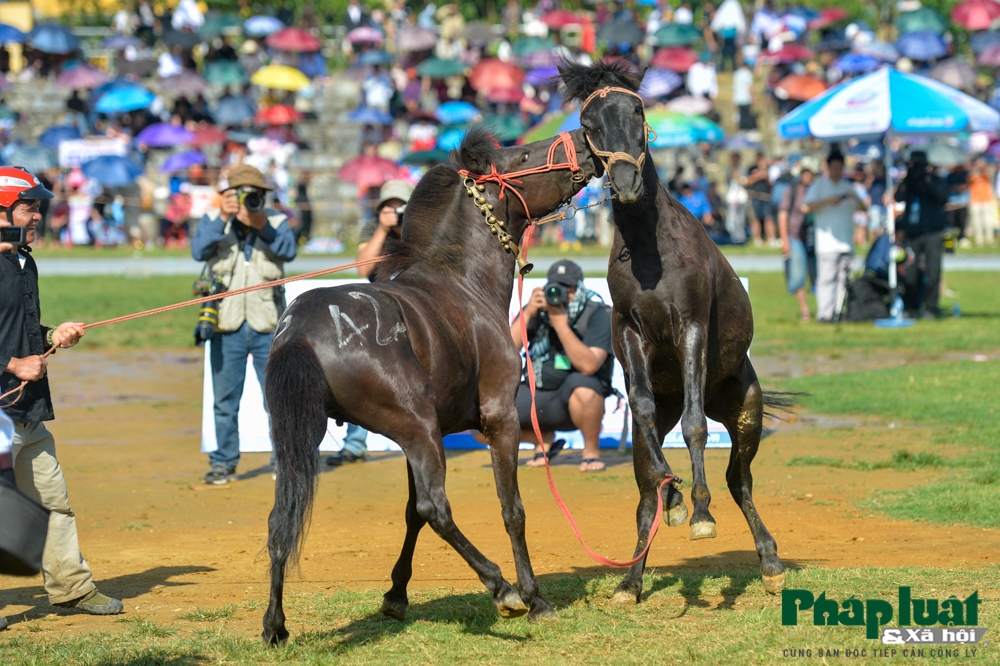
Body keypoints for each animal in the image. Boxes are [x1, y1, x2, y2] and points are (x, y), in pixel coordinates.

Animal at [262, 127, 596, 640]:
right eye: (523, 155)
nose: (581, 136)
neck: (463, 282)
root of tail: (300, 327)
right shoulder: (499, 418)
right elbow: (511, 510)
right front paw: (534, 596)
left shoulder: (418, 438)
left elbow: (408, 514)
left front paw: (396, 595)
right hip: (416, 426)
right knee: (436, 507)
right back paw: (502, 588)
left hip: (323, 432)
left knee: (284, 515)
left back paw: (275, 624)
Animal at [564, 63, 788, 600]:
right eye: (588, 122)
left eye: (637, 109)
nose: (625, 179)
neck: (652, 250)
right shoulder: (631, 334)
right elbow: (646, 424)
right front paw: (677, 498)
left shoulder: (691, 326)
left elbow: (695, 427)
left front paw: (701, 512)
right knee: (647, 486)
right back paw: (631, 578)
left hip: (746, 412)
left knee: (739, 480)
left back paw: (770, 561)